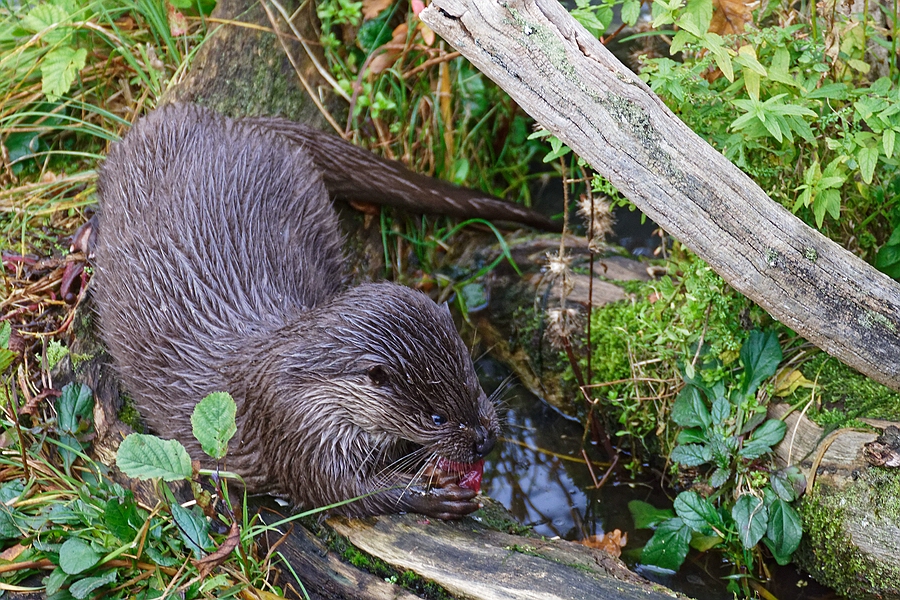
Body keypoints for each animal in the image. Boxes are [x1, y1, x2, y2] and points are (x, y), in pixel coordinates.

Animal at [94, 103, 511, 518]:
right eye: (437, 417)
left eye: (473, 381)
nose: (485, 440)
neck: (309, 384)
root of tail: (223, 121)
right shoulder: (295, 429)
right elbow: (342, 492)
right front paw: (436, 494)